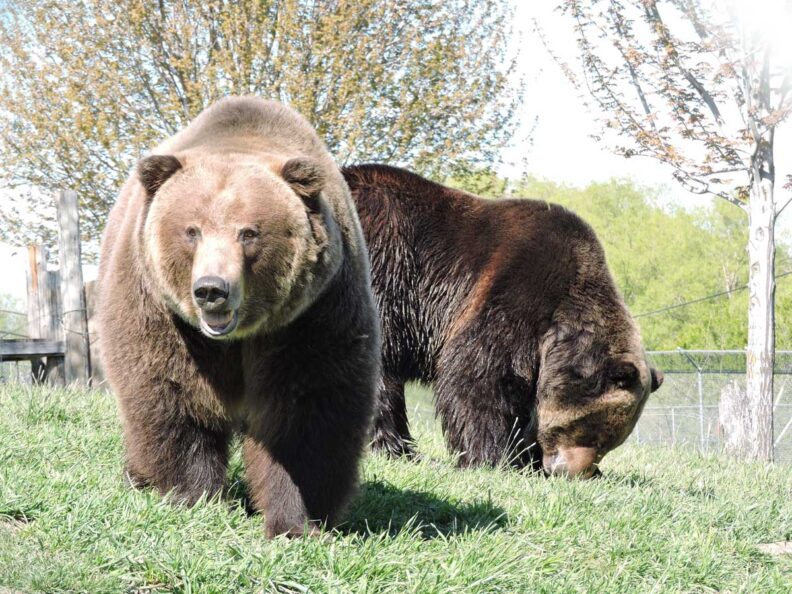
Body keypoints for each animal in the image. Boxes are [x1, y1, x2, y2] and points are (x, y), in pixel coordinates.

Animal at [98, 97, 380, 537]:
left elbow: (305, 413)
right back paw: (138, 477)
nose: (212, 289)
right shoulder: (163, 314)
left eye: (249, 232)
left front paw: (296, 520)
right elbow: (175, 392)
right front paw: (192, 495)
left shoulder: (311, 316)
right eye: (191, 230)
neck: (236, 339)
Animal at [343, 164, 662, 478]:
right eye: (593, 433)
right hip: (384, 271)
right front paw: (492, 458)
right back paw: (395, 447)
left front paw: (527, 459)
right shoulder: (513, 293)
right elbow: (476, 374)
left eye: (609, 444)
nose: (569, 471)